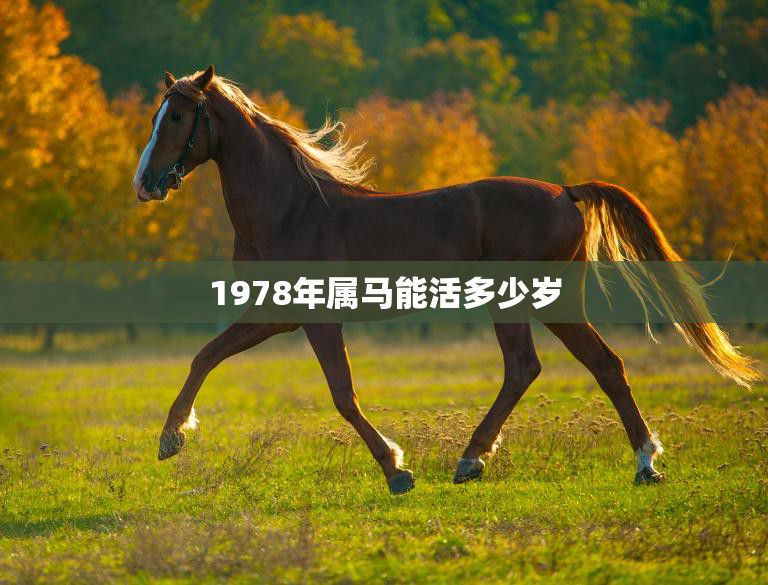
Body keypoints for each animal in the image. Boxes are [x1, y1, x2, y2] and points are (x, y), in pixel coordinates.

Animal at [133, 66, 760, 494]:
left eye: (179, 117)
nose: (144, 183)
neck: (291, 209)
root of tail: (565, 192)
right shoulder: (276, 314)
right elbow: (206, 356)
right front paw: (171, 437)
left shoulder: (317, 319)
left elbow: (342, 394)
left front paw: (396, 470)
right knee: (576, 366)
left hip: (529, 302)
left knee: (553, 367)